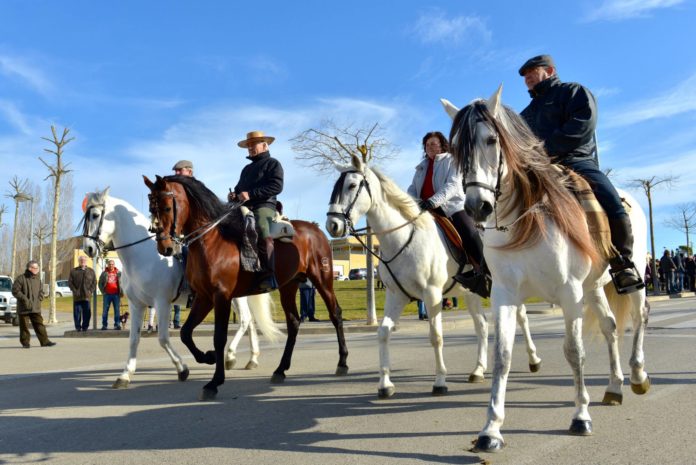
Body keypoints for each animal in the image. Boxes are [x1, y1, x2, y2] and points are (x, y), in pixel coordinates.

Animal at [81, 188, 274, 388]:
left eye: (95, 215)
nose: (88, 248)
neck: (143, 255)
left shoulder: (162, 303)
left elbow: (163, 339)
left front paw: (183, 369)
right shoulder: (137, 305)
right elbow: (134, 339)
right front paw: (125, 374)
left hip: (234, 296)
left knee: (245, 320)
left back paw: (230, 356)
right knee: (250, 322)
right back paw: (252, 359)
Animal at [143, 174, 348, 398]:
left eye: (166, 208)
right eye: (151, 208)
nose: (164, 247)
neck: (212, 240)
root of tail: (316, 229)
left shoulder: (221, 297)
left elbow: (219, 337)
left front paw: (214, 381)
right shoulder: (204, 297)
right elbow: (186, 333)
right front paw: (208, 357)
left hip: (322, 279)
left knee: (335, 314)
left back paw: (342, 363)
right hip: (289, 286)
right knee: (293, 322)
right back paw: (280, 369)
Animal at [326, 154, 544, 396]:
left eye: (352, 185)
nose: (332, 224)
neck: (404, 238)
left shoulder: (431, 295)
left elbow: (436, 337)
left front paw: (440, 381)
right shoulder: (396, 295)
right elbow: (383, 332)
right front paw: (385, 384)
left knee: (521, 317)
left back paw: (534, 360)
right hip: (471, 294)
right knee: (482, 325)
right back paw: (478, 370)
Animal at [444, 86, 648, 450]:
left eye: (491, 140)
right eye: (455, 151)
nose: (477, 207)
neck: (526, 223)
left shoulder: (568, 292)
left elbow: (574, 351)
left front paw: (580, 416)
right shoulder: (505, 295)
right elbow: (502, 356)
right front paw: (490, 430)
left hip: (632, 275)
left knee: (639, 317)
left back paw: (638, 375)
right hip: (593, 288)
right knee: (610, 327)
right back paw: (614, 387)